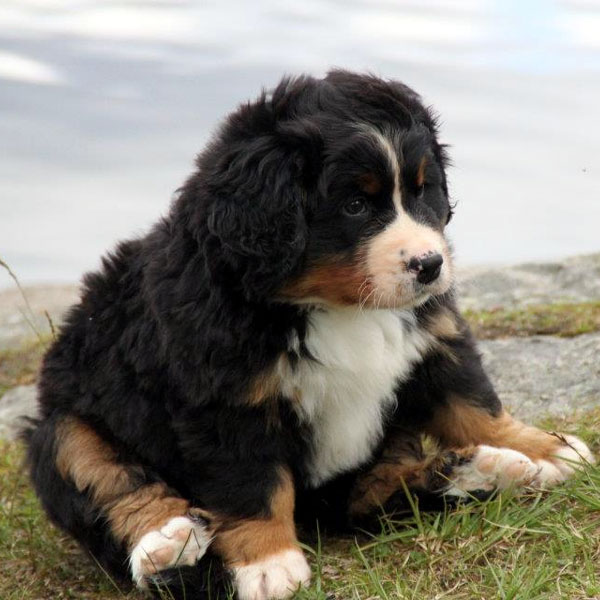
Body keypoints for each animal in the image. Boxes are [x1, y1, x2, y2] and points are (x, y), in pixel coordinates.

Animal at [25, 71, 592, 600]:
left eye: (422, 189)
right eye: (355, 206)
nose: (431, 264)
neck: (340, 308)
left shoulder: (433, 339)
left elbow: (473, 404)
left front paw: (545, 449)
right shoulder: (226, 399)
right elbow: (252, 481)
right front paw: (267, 562)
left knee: (374, 492)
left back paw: (486, 469)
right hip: (64, 423)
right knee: (110, 481)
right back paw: (169, 540)